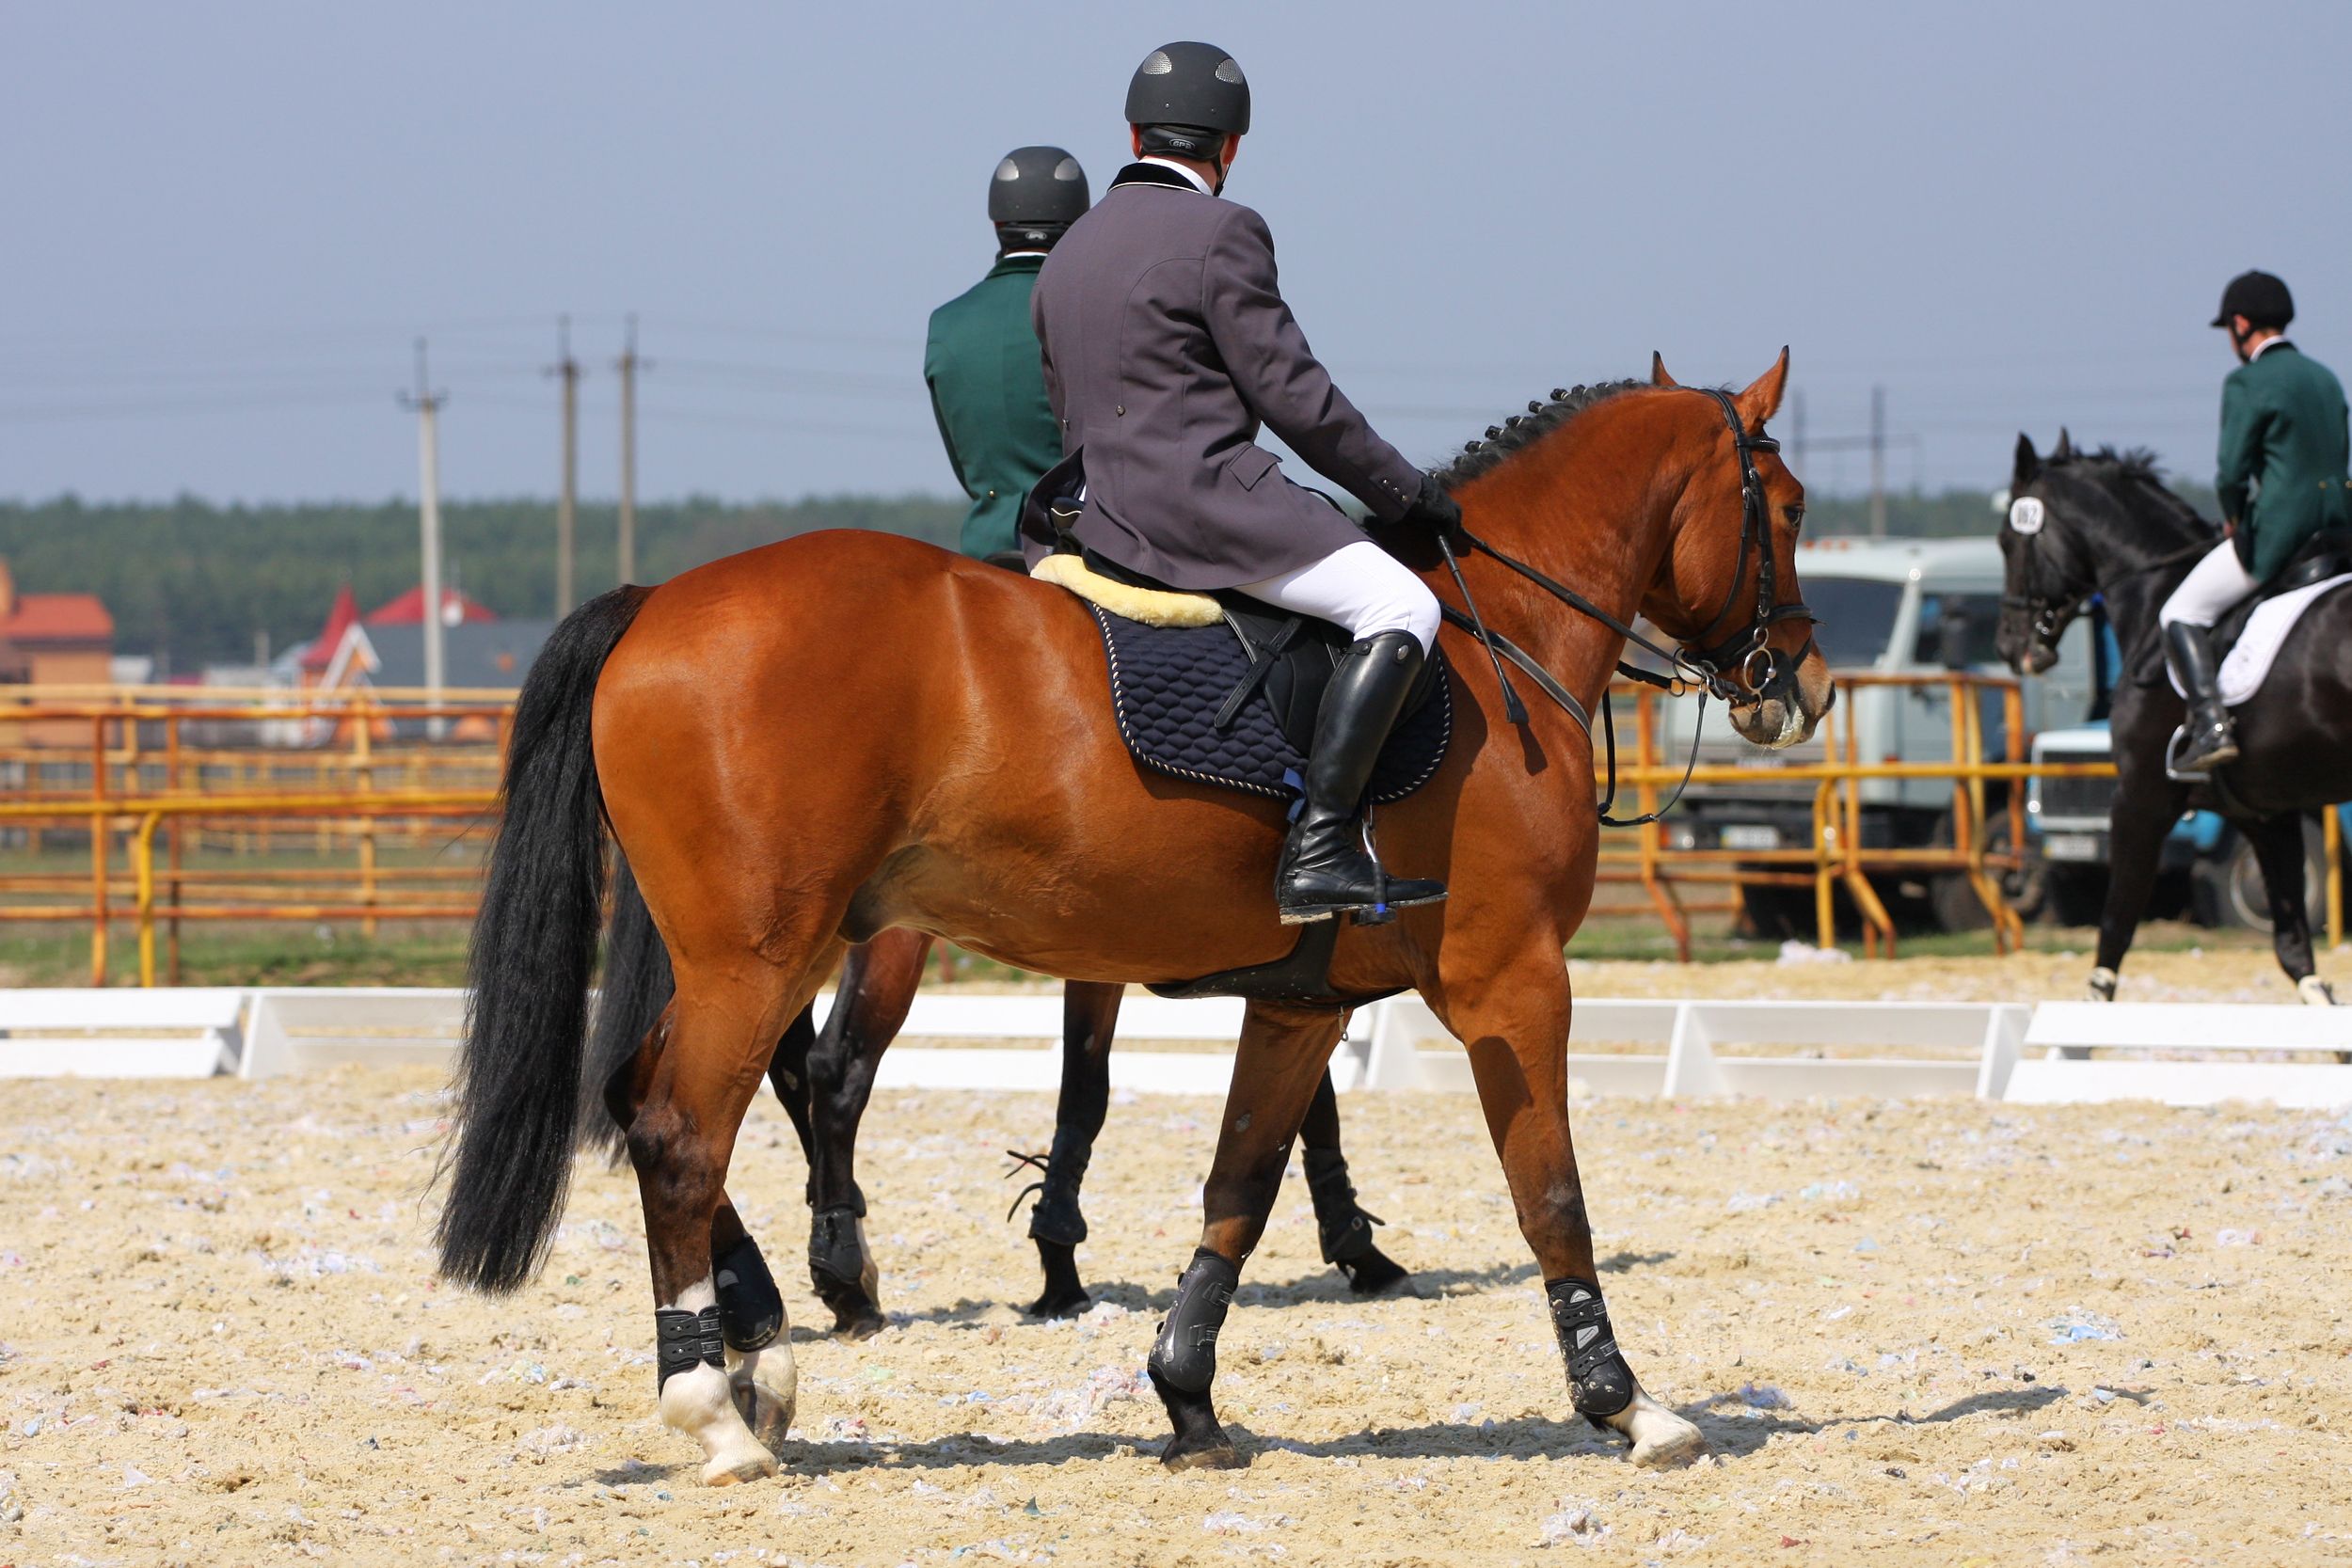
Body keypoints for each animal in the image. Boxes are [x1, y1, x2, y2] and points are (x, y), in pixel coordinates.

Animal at [581, 868, 1411, 1336]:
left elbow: (1089, 1087)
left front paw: (1057, 1257)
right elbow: (1298, 1100)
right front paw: (1360, 1249)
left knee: (774, 1068)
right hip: (863, 935)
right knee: (831, 1067)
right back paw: (845, 1269)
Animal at [1995, 432, 2352, 1003]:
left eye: (2008, 541)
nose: (2010, 646)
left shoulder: (2141, 798)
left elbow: (2115, 929)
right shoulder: (2265, 813)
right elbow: (2295, 950)